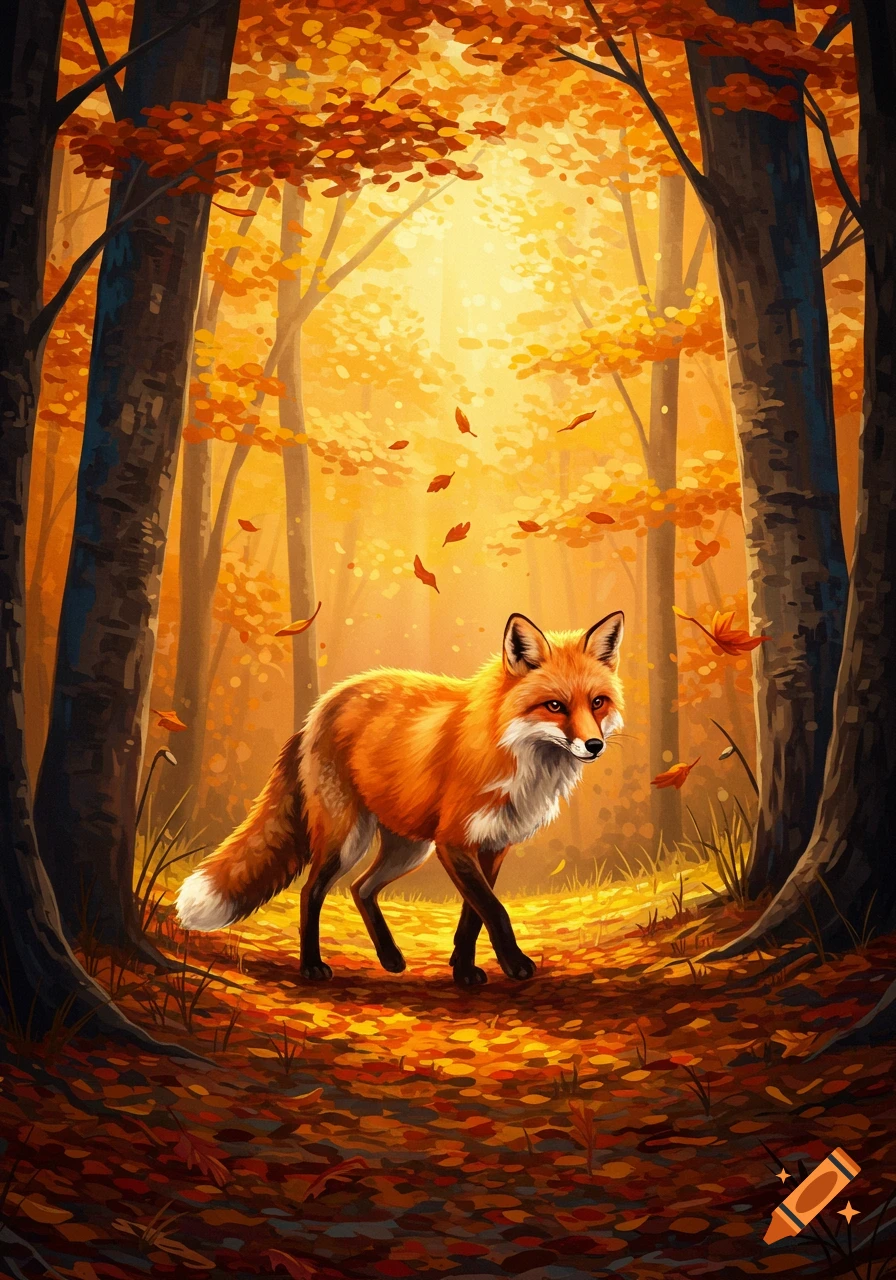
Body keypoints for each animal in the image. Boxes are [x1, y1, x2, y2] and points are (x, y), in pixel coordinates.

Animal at [176, 610, 624, 986]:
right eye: (555, 706)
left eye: (597, 702)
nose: (595, 745)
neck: (511, 752)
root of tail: (318, 710)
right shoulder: (453, 842)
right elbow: (493, 910)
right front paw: (508, 966)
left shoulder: (493, 845)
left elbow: (472, 916)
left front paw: (462, 970)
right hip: (348, 839)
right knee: (311, 891)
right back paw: (312, 966)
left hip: (409, 848)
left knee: (361, 888)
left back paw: (389, 957)